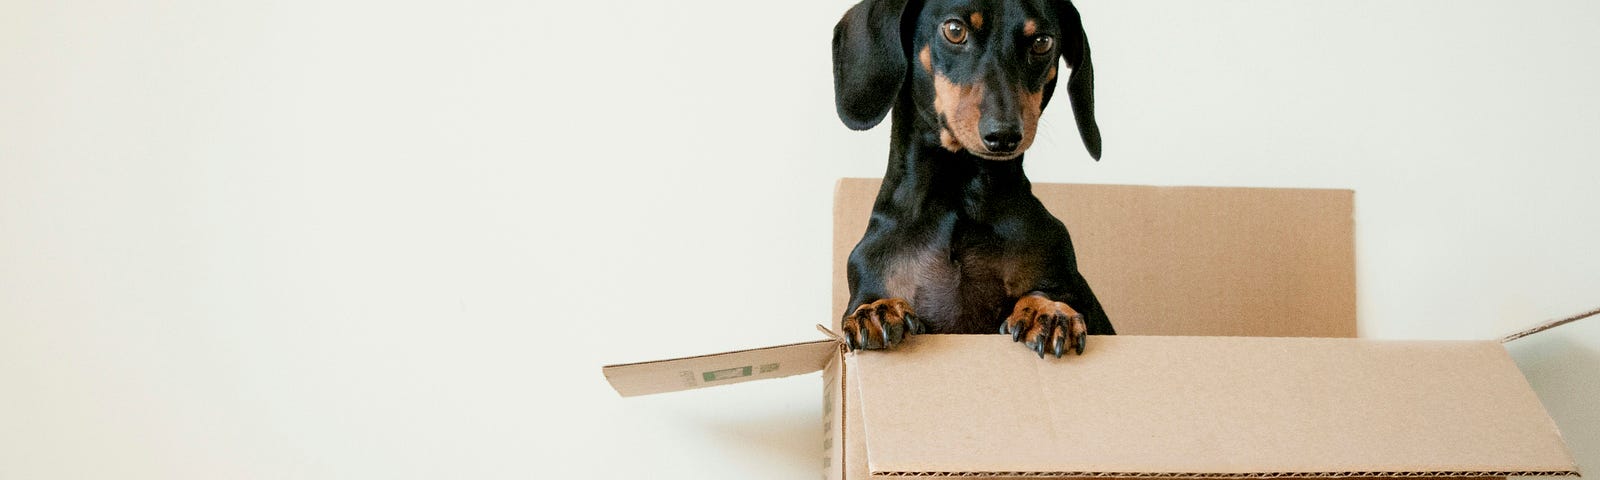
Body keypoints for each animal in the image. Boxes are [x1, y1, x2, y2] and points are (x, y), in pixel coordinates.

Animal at [832, 0, 1120, 356]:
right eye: (955, 30)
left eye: (1042, 42)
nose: (1004, 135)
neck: (960, 195)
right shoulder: (868, 273)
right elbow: (869, 301)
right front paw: (876, 310)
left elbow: (1047, 293)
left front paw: (1048, 312)